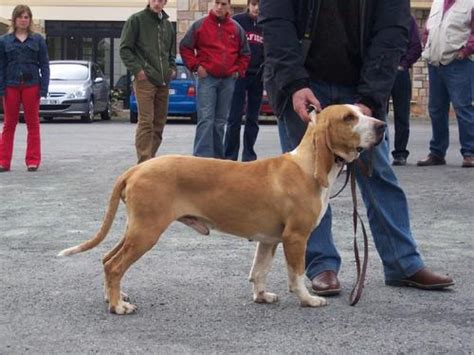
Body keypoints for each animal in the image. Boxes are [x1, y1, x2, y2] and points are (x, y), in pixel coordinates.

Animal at [58, 104, 386, 316]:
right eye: (349, 117)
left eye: (362, 110)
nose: (382, 125)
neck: (307, 166)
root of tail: (135, 169)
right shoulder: (295, 238)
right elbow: (296, 275)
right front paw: (308, 300)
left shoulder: (269, 240)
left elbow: (259, 271)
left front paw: (261, 296)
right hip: (146, 232)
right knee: (115, 265)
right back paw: (118, 306)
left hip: (135, 230)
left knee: (106, 259)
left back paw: (112, 296)